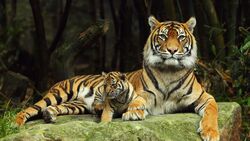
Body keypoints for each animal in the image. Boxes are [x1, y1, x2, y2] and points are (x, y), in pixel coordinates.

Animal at [16, 16, 219, 141]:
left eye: (181, 37)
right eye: (162, 37)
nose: (172, 50)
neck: (170, 71)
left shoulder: (205, 97)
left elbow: (212, 111)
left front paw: (211, 133)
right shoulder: (142, 94)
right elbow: (137, 102)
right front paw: (134, 112)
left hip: (75, 105)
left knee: (54, 108)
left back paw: (50, 115)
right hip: (57, 94)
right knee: (29, 109)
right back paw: (16, 124)